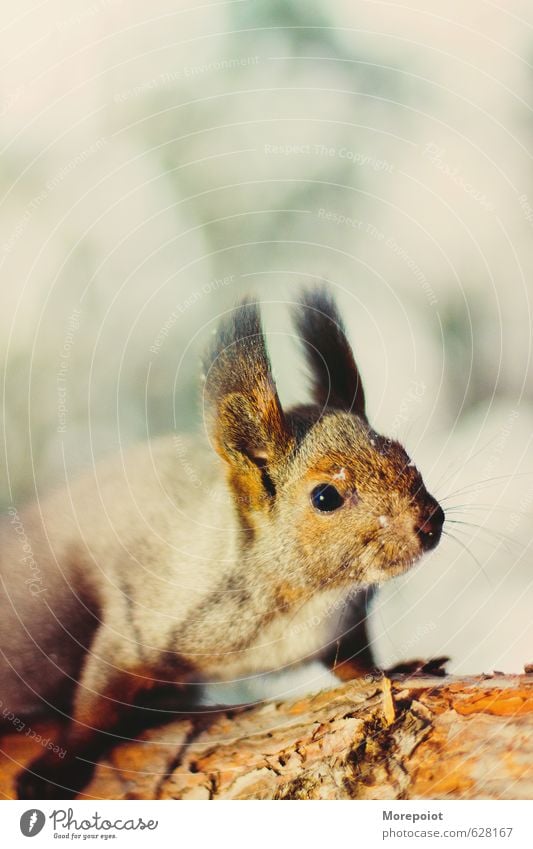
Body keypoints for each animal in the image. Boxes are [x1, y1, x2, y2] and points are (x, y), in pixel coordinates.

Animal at [0, 288, 440, 800]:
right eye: (325, 496)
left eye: (404, 454)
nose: (431, 522)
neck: (306, 596)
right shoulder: (143, 624)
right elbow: (93, 709)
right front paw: (58, 769)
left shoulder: (338, 629)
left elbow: (357, 663)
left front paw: (402, 668)